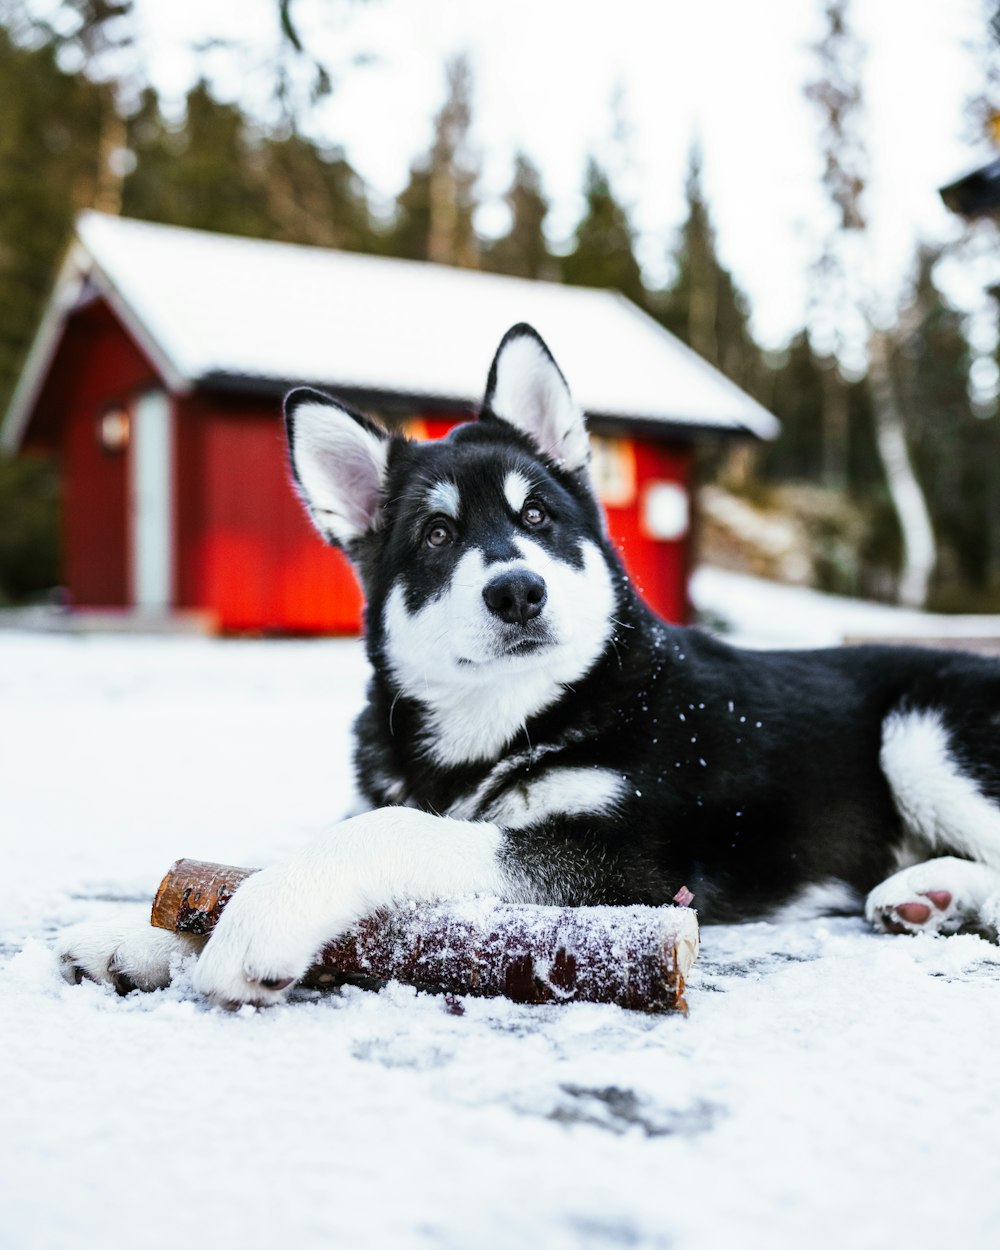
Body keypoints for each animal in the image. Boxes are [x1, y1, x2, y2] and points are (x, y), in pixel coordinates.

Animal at [58, 325, 1000, 1005]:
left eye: (538, 516)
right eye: (438, 534)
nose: (517, 590)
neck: (507, 722)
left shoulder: (625, 864)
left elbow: (395, 831)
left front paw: (262, 919)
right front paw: (141, 938)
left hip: (924, 734)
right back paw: (930, 894)